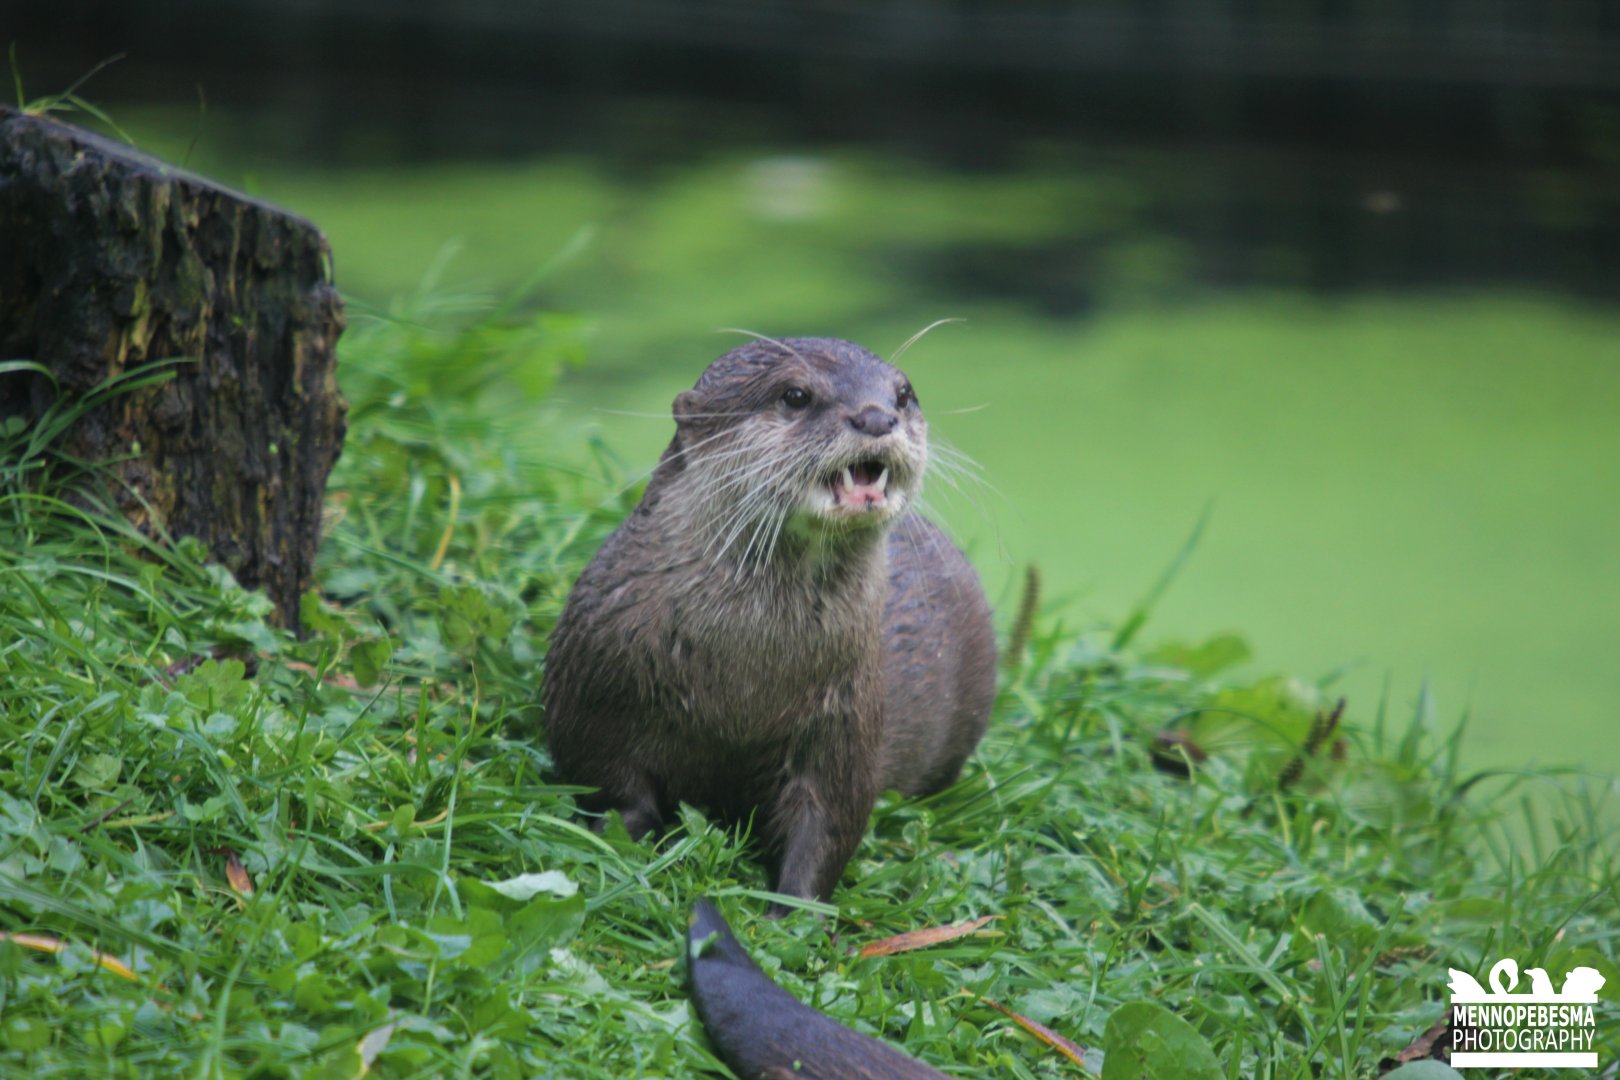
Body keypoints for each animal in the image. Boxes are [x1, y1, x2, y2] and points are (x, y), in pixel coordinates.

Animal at [543, 336, 995, 910]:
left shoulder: (846, 723)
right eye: (795, 395)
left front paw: (792, 912)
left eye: (903, 394)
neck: (740, 685)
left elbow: (827, 827)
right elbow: (608, 782)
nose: (876, 417)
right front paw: (621, 843)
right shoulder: (592, 691)